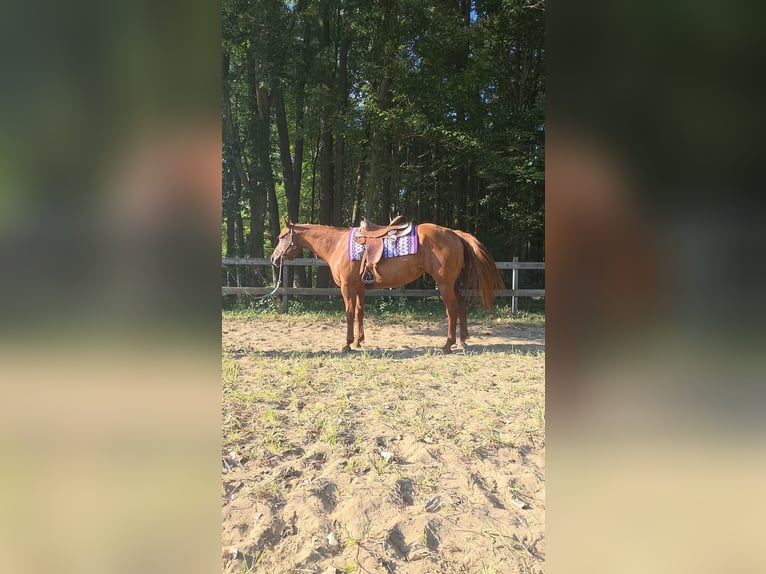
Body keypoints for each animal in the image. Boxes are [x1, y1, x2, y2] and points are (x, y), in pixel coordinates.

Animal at [269, 219, 505, 353]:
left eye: (281, 237)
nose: (273, 259)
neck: (336, 245)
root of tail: (455, 233)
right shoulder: (360, 288)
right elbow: (359, 312)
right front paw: (358, 341)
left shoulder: (347, 288)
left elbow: (348, 313)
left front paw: (346, 344)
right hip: (452, 283)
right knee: (462, 305)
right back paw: (463, 340)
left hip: (444, 283)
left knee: (452, 310)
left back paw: (448, 344)